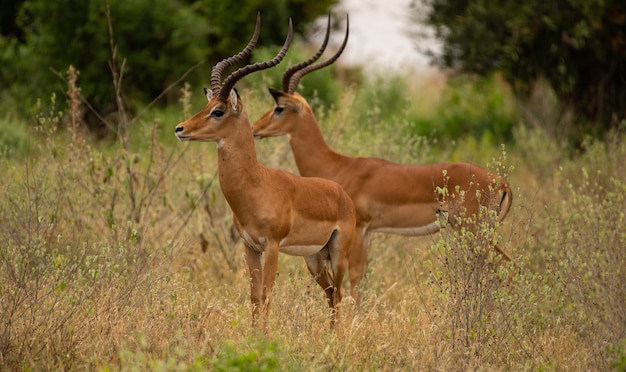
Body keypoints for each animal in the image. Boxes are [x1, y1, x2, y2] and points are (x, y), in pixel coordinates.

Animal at [174, 16, 356, 326]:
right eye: (207, 104)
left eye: (218, 111)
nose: (180, 128)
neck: (256, 184)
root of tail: (342, 194)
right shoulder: (250, 247)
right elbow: (254, 298)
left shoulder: (271, 246)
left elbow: (267, 296)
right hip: (314, 258)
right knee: (331, 293)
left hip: (339, 251)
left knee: (341, 294)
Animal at [251, 15, 510, 306]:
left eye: (279, 108)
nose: (254, 129)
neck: (338, 165)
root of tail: (502, 182)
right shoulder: (368, 231)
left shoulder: (360, 227)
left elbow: (354, 276)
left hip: (474, 229)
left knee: (505, 265)